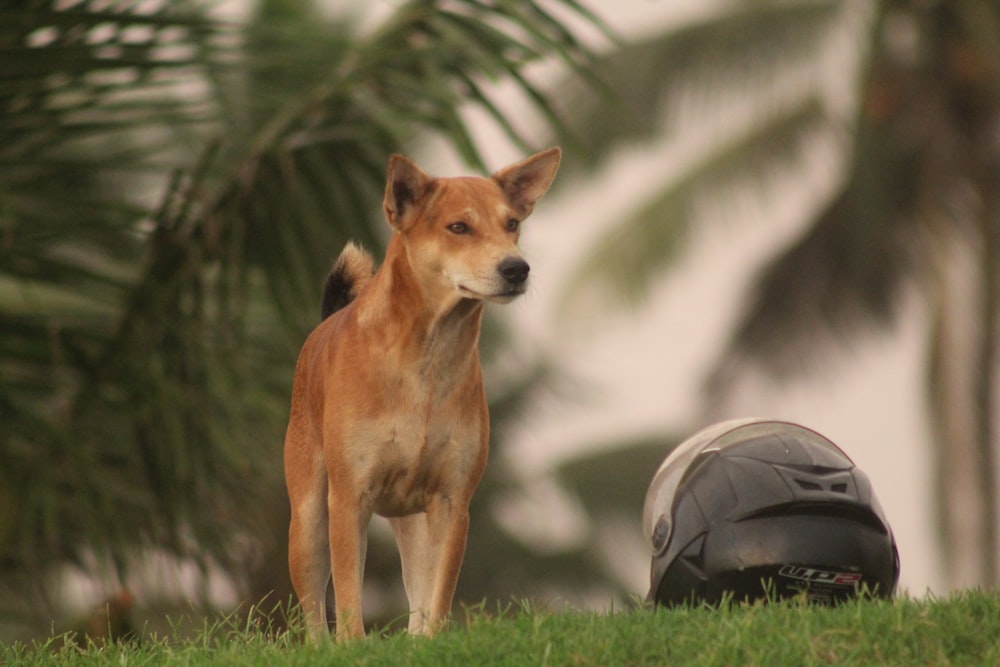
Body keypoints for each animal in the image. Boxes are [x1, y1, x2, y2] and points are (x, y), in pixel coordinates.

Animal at [286, 147, 560, 640]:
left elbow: (438, 596)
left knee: (416, 592)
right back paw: (321, 645)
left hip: (412, 521)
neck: (427, 361)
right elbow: (349, 598)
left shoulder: (453, 503)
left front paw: (431, 643)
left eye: (512, 223)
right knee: (314, 611)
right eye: (458, 227)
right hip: (309, 519)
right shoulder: (349, 499)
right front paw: (352, 645)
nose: (516, 268)